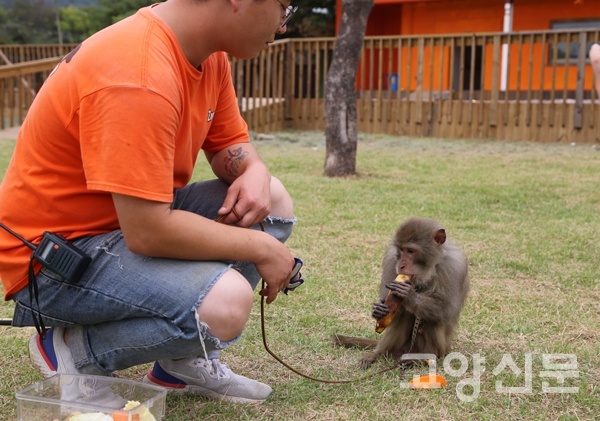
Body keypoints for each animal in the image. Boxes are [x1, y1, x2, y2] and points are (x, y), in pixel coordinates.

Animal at [336, 217, 472, 368]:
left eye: (411, 250)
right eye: (401, 250)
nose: (401, 265)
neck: (427, 269)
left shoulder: (454, 266)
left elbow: (446, 309)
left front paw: (409, 296)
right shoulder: (391, 259)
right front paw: (378, 309)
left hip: (442, 349)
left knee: (431, 318)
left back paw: (423, 358)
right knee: (404, 315)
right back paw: (379, 354)